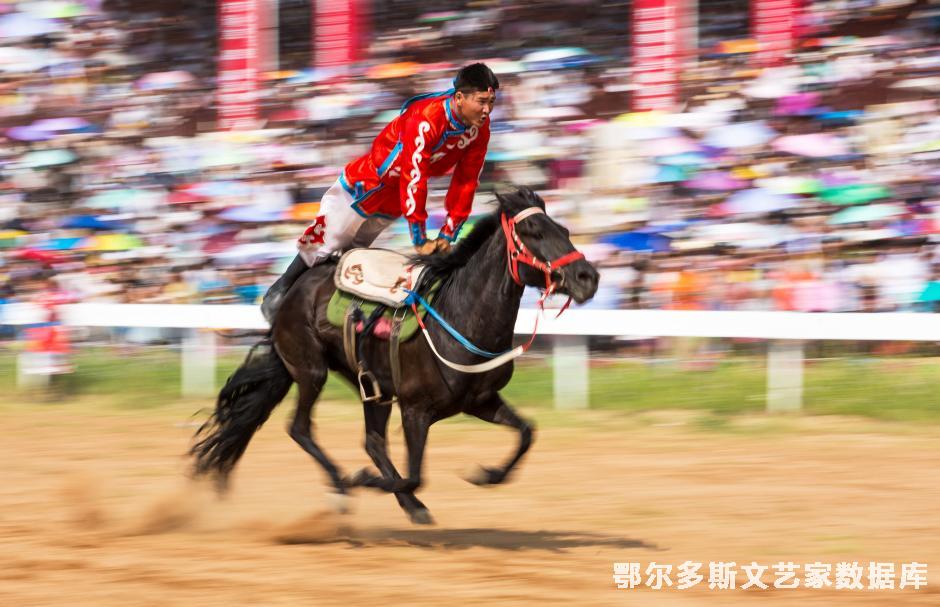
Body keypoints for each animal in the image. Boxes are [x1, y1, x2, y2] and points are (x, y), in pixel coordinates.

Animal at [190, 188, 600, 524]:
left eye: (562, 229)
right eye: (533, 232)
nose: (588, 277)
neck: (459, 316)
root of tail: (288, 295)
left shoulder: (480, 400)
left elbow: (527, 432)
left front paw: (486, 474)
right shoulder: (415, 409)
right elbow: (417, 475)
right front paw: (366, 481)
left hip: (370, 384)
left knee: (372, 441)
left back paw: (402, 503)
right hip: (311, 369)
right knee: (301, 428)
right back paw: (344, 487)